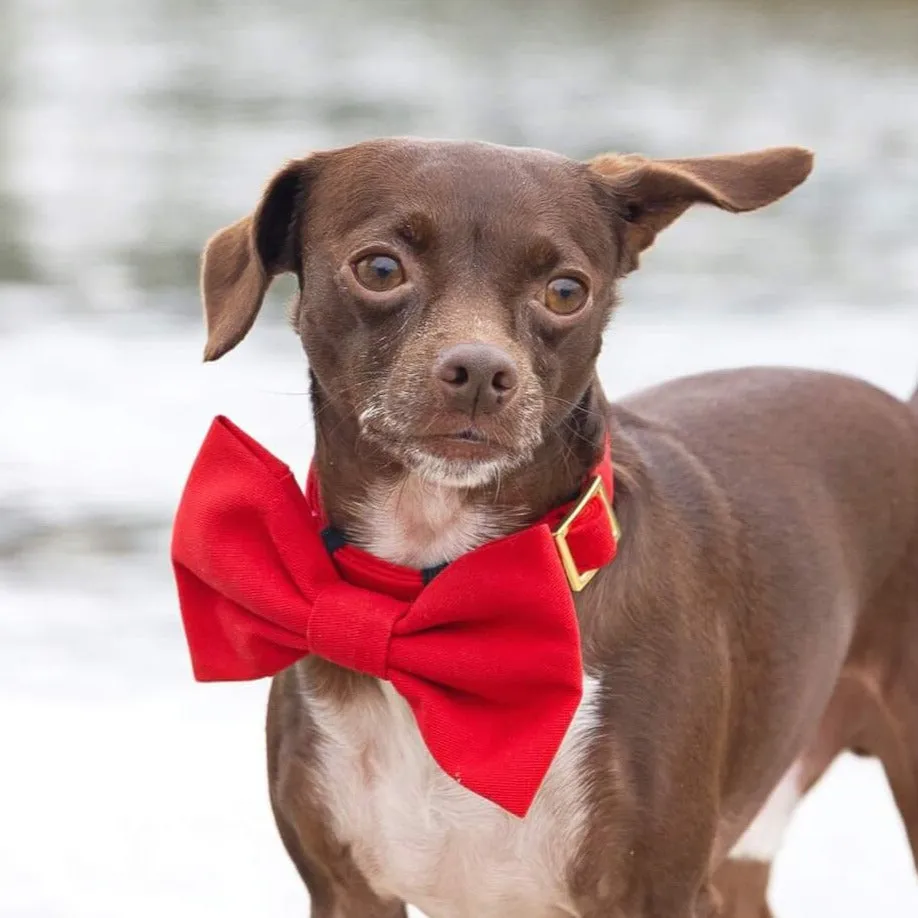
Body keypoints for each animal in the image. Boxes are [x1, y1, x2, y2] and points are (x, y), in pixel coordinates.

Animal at [190, 138, 916, 918]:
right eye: (380, 269)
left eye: (567, 291)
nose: (481, 370)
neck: (432, 589)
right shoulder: (344, 891)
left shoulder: (652, 892)